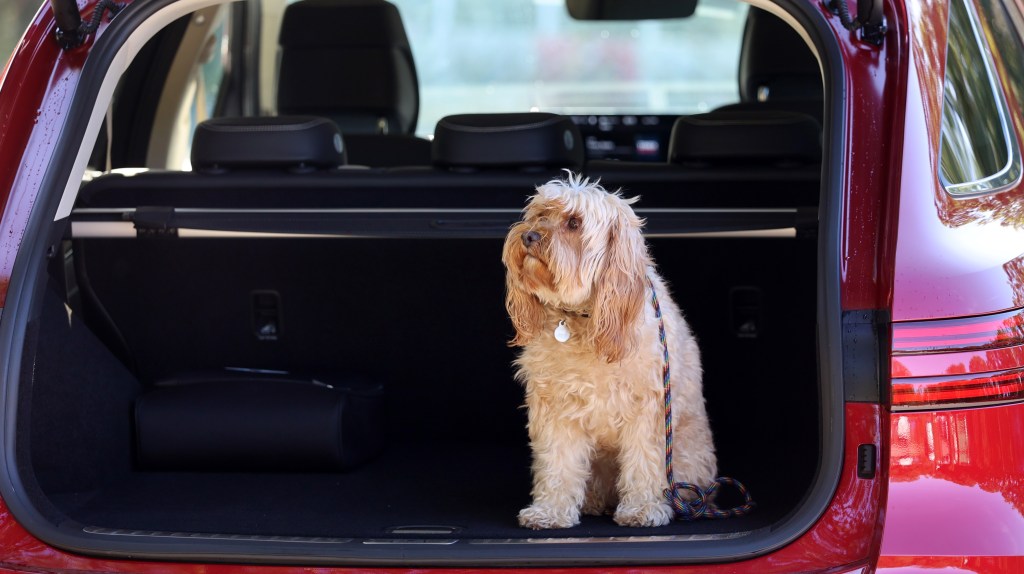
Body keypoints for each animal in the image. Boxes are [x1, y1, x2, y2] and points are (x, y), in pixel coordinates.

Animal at [501, 173, 712, 527]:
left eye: (574, 222)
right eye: (540, 214)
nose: (529, 235)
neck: (584, 316)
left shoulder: (648, 409)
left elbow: (644, 461)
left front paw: (643, 507)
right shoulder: (556, 407)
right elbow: (558, 462)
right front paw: (550, 510)